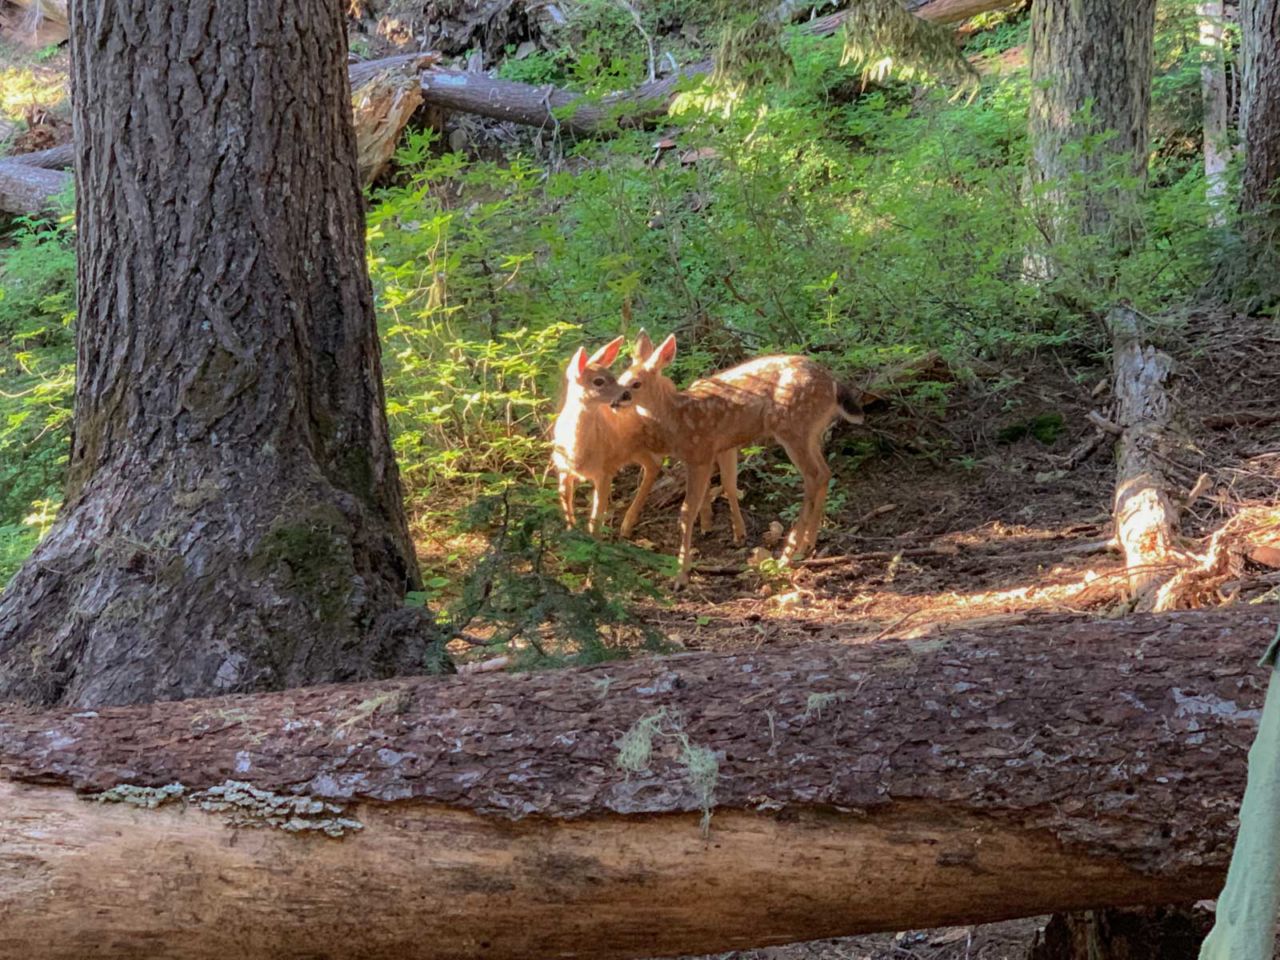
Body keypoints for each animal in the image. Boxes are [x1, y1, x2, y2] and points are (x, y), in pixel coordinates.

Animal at [551, 335, 739, 540]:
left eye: (613, 376)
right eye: (598, 381)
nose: (623, 395)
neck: (577, 449)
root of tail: (662, 376)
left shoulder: (606, 469)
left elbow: (596, 517)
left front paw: (595, 542)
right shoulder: (562, 468)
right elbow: (566, 507)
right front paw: (571, 534)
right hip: (636, 448)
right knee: (655, 465)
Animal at [612, 332, 865, 587]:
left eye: (636, 383)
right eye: (619, 378)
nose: (613, 401)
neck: (678, 419)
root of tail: (834, 384)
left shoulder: (700, 453)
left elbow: (686, 511)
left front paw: (681, 575)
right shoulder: (723, 447)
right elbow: (728, 485)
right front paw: (733, 533)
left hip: (793, 427)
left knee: (813, 476)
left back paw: (789, 553)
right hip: (811, 432)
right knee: (825, 473)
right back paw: (808, 543)